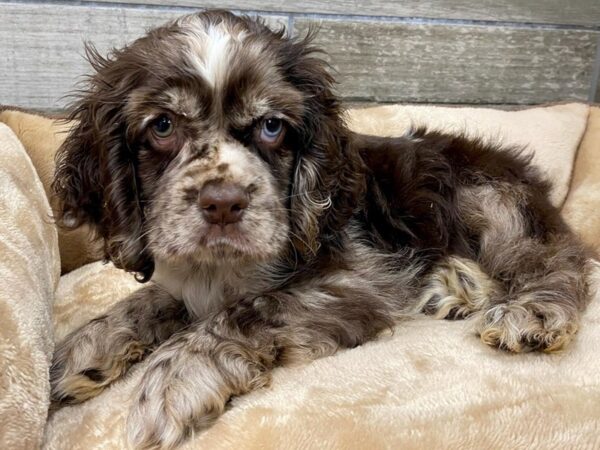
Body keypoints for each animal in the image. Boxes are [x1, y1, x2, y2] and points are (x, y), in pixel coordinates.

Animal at [50, 10, 592, 450]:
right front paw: (79, 352)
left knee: (555, 259)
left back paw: (532, 312)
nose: (223, 203)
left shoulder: (357, 281)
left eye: (271, 126)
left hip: (489, 199)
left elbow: (250, 310)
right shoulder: (184, 277)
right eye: (162, 126)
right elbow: (146, 301)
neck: (221, 269)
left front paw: (176, 378)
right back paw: (455, 288)